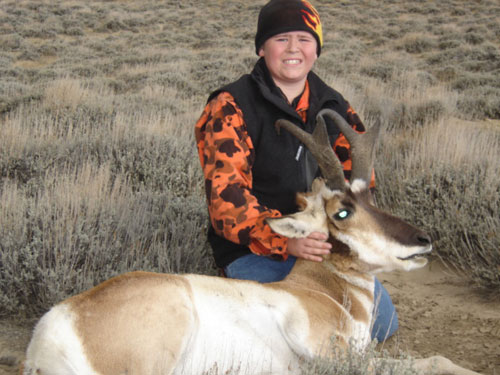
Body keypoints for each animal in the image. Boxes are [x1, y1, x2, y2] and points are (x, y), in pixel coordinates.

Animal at [22, 110, 480, 374]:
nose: (423, 241)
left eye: (370, 196)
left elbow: (436, 358)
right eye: (342, 211)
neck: (321, 290)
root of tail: (53, 329)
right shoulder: (316, 342)